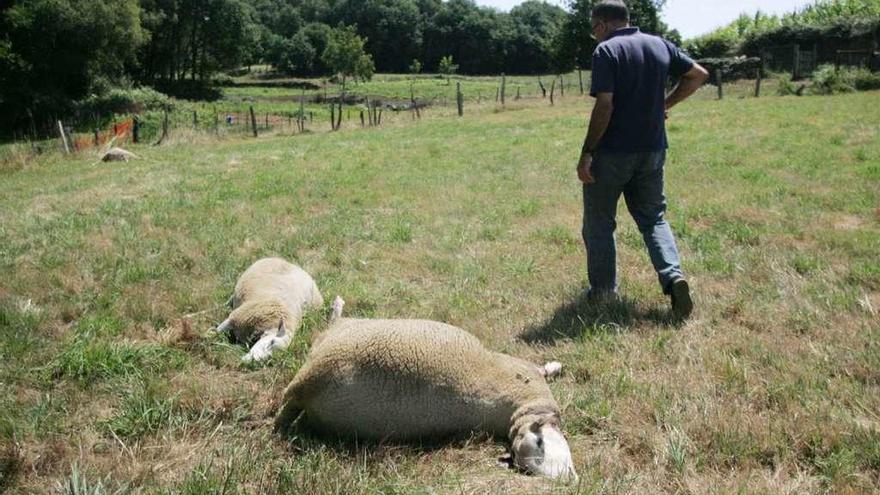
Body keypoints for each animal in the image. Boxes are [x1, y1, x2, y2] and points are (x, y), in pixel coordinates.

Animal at [276, 298, 576, 480]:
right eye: (539, 444)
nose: (567, 481)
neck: (522, 407)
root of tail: (305, 388)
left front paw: (554, 366)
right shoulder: (522, 368)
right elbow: (540, 368)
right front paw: (553, 365)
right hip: (341, 335)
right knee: (334, 322)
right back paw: (336, 306)